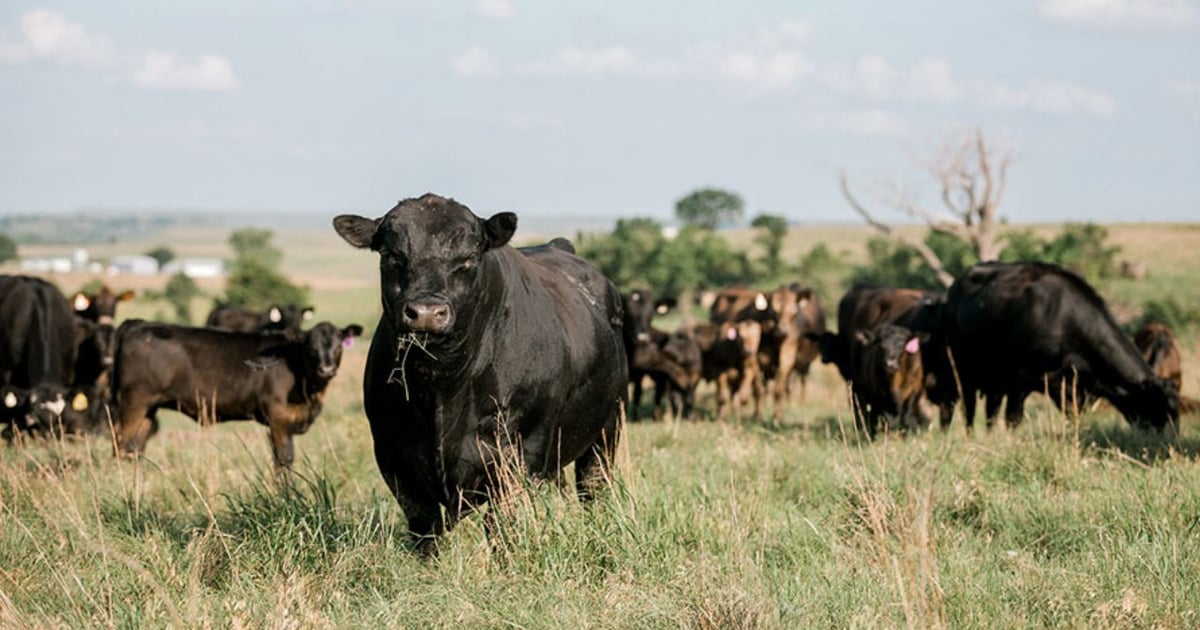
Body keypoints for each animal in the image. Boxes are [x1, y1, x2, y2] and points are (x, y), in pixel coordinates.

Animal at [111, 320, 362, 471]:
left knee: (134, 448)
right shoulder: (278, 419)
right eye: (312, 348)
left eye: (339, 346)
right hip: (134, 402)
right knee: (121, 445)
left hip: (148, 409)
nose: (327, 369)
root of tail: (140, 324)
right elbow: (284, 460)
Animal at [333, 193, 628, 554]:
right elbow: (425, 527)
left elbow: (501, 523)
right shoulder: (393, 453)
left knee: (593, 487)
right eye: (391, 255)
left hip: (606, 428)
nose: (427, 312)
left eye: (469, 258)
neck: (442, 386)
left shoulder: (521, 451)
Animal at [943, 262, 1178, 432]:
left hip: (994, 380)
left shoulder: (1070, 390)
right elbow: (1013, 419)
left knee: (990, 412)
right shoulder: (1019, 382)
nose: (1169, 441)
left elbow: (1074, 417)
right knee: (968, 411)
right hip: (963, 373)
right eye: (1158, 406)